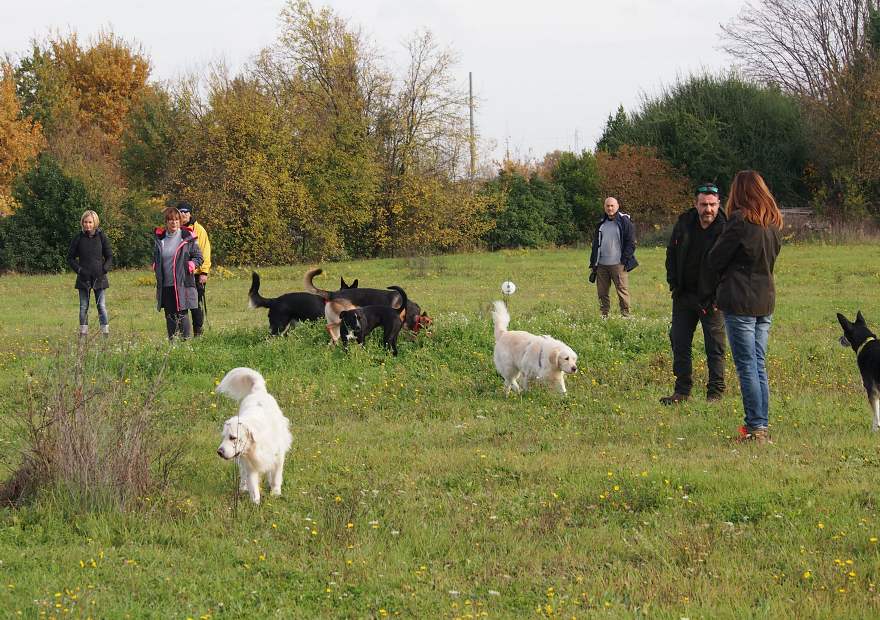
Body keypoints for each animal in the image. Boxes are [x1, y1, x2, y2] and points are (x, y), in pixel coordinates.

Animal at [216, 368, 292, 504]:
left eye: (232, 437)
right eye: (223, 437)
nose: (219, 452)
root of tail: (258, 390)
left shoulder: (278, 457)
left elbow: (276, 477)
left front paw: (275, 493)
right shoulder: (250, 465)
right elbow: (253, 486)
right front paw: (255, 503)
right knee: (243, 474)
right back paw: (243, 487)